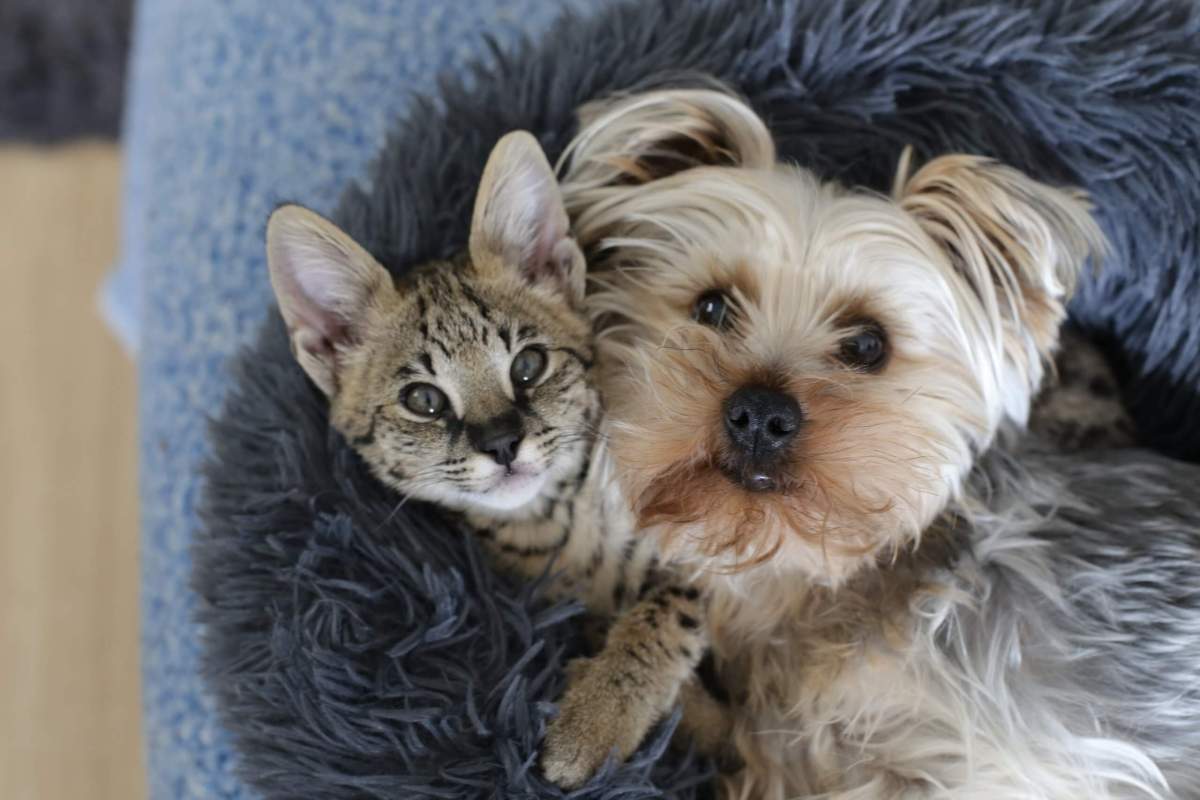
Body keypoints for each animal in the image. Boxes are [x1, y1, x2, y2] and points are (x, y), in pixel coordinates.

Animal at [262, 131, 715, 786]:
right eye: (424, 401)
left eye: (528, 366)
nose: (502, 444)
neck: (558, 518)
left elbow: (668, 613)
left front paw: (594, 724)